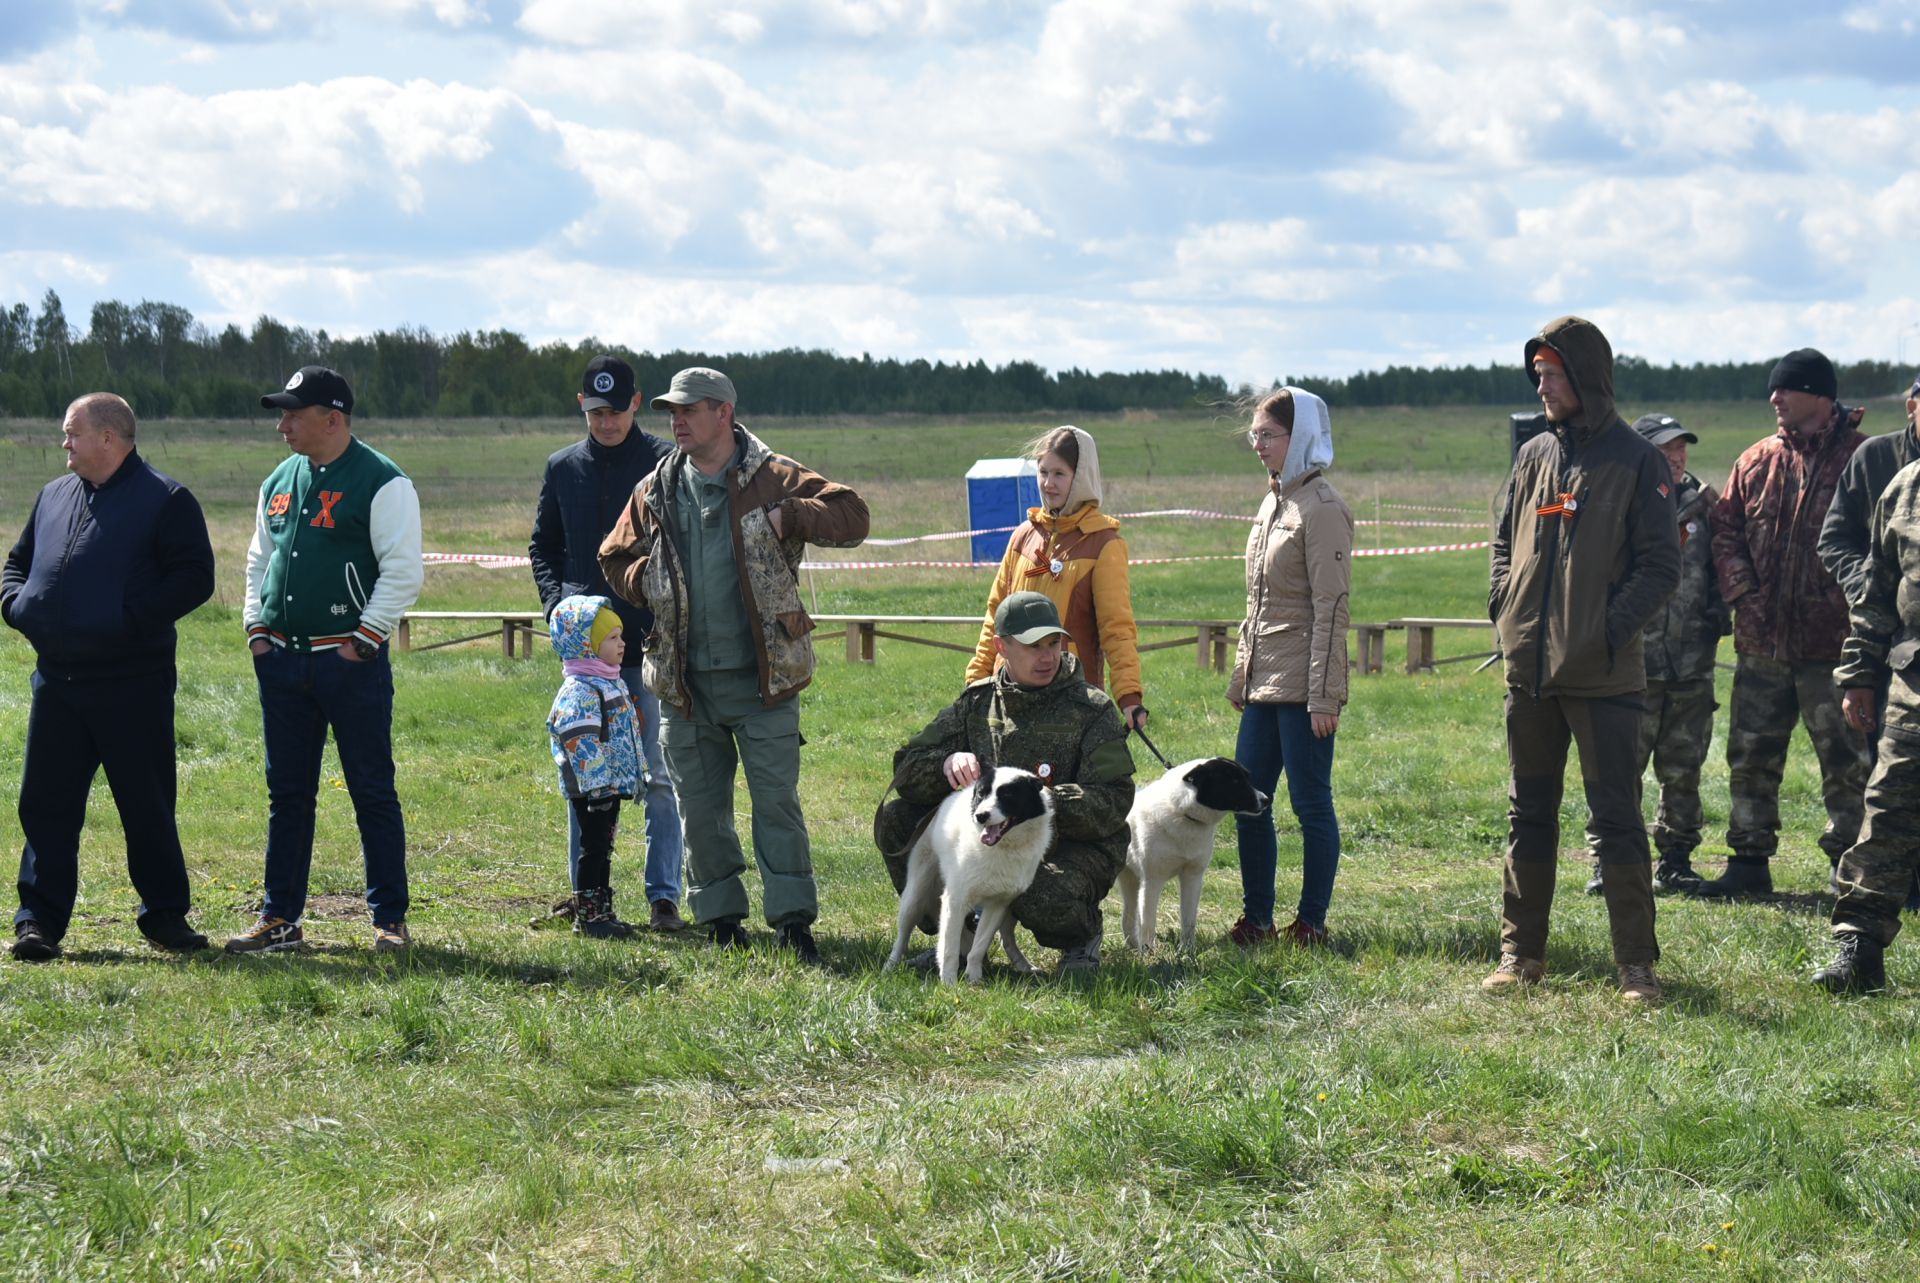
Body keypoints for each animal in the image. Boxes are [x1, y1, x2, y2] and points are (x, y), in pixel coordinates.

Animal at [879, 768, 1052, 991]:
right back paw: (890, 967)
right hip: (914, 898)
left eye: (1008, 795)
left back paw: (1024, 965)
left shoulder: (998, 905)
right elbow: (949, 949)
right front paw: (949, 983)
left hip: (1008, 911)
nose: (980, 816)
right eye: (981, 794)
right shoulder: (955, 901)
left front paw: (974, 979)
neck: (1002, 847)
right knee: (903, 936)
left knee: (1006, 937)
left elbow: (978, 947)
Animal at [1121, 760, 1267, 952]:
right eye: (1234, 781)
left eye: (1247, 777)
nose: (1266, 800)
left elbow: (1189, 920)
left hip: (1130, 880)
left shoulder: (1193, 877)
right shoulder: (1152, 881)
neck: (1181, 812)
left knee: (1127, 919)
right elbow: (1148, 923)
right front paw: (1149, 953)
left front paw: (1187, 951)